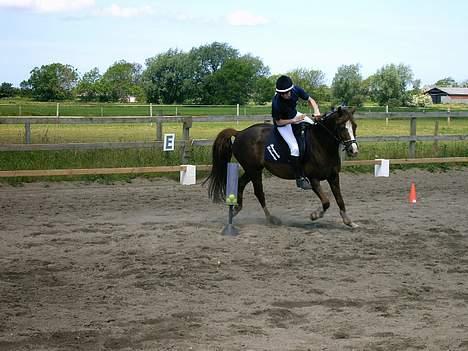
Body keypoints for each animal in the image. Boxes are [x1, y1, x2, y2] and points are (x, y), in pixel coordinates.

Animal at [205, 106, 358, 228]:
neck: (321, 144)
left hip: (252, 170)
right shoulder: (314, 179)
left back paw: (236, 209)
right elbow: (326, 202)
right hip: (254, 170)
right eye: (342, 127)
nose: (353, 151)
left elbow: (340, 200)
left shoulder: (334, 177)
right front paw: (315, 215)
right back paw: (271, 219)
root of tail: (240, 132)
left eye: (355, 126)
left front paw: (349, 221)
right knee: (259, 192)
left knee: (242, 183)